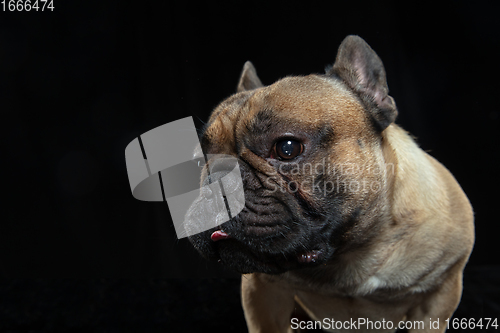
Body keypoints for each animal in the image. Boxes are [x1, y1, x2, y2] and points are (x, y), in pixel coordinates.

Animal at [187, 35, 472, 330]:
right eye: (198, 162)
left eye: (287, 148)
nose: (215, 184)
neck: (350, 255)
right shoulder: (262, 294)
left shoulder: (438, 297)